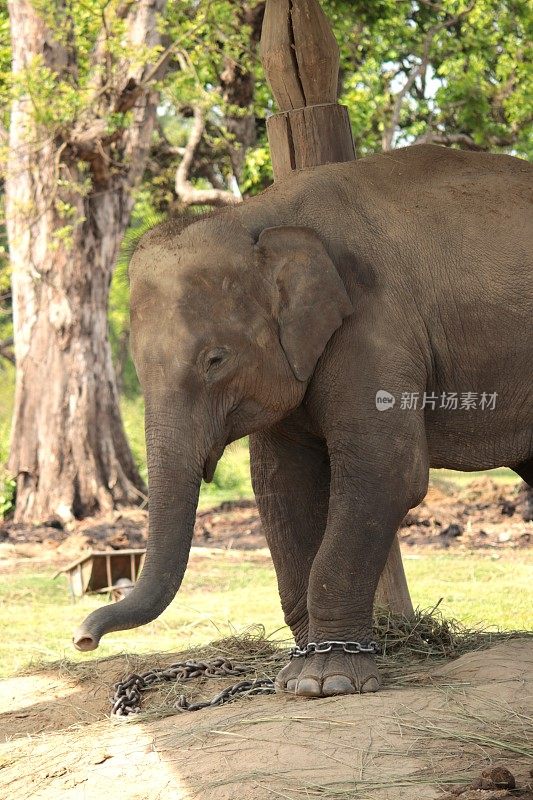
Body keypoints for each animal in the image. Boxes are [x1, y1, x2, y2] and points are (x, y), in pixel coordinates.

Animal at [74, 147, 532, 696]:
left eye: (216, 360)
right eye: (138, 368)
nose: (83, 639)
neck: (257, 216)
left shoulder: (375, 323)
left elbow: (387, 472)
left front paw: (327, 682)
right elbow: (280, 486)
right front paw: (294, 679)